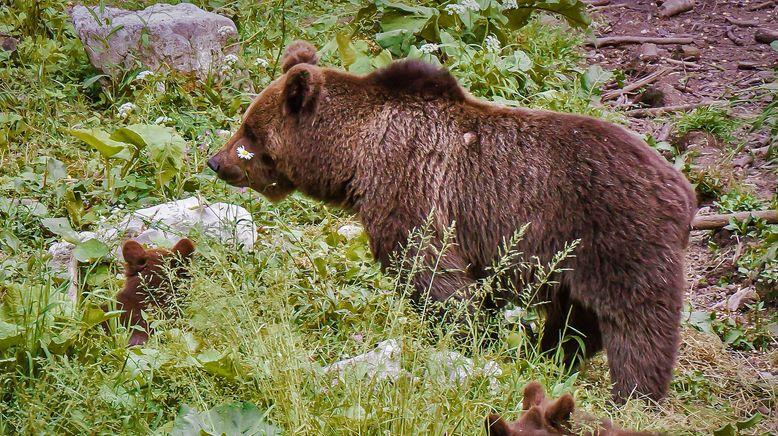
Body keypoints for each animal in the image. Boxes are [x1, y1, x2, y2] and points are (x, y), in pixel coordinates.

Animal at [208, 40, 696, 402]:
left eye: (249, 130)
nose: (216, 160)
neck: (356, 156)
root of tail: (684, 191)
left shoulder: (412, 188)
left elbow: (429, 274)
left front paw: (462, 335)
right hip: (575, 258)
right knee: (578, 318)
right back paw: (549, 354)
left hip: (617, 234)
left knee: (638, 323)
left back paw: (634, 393)